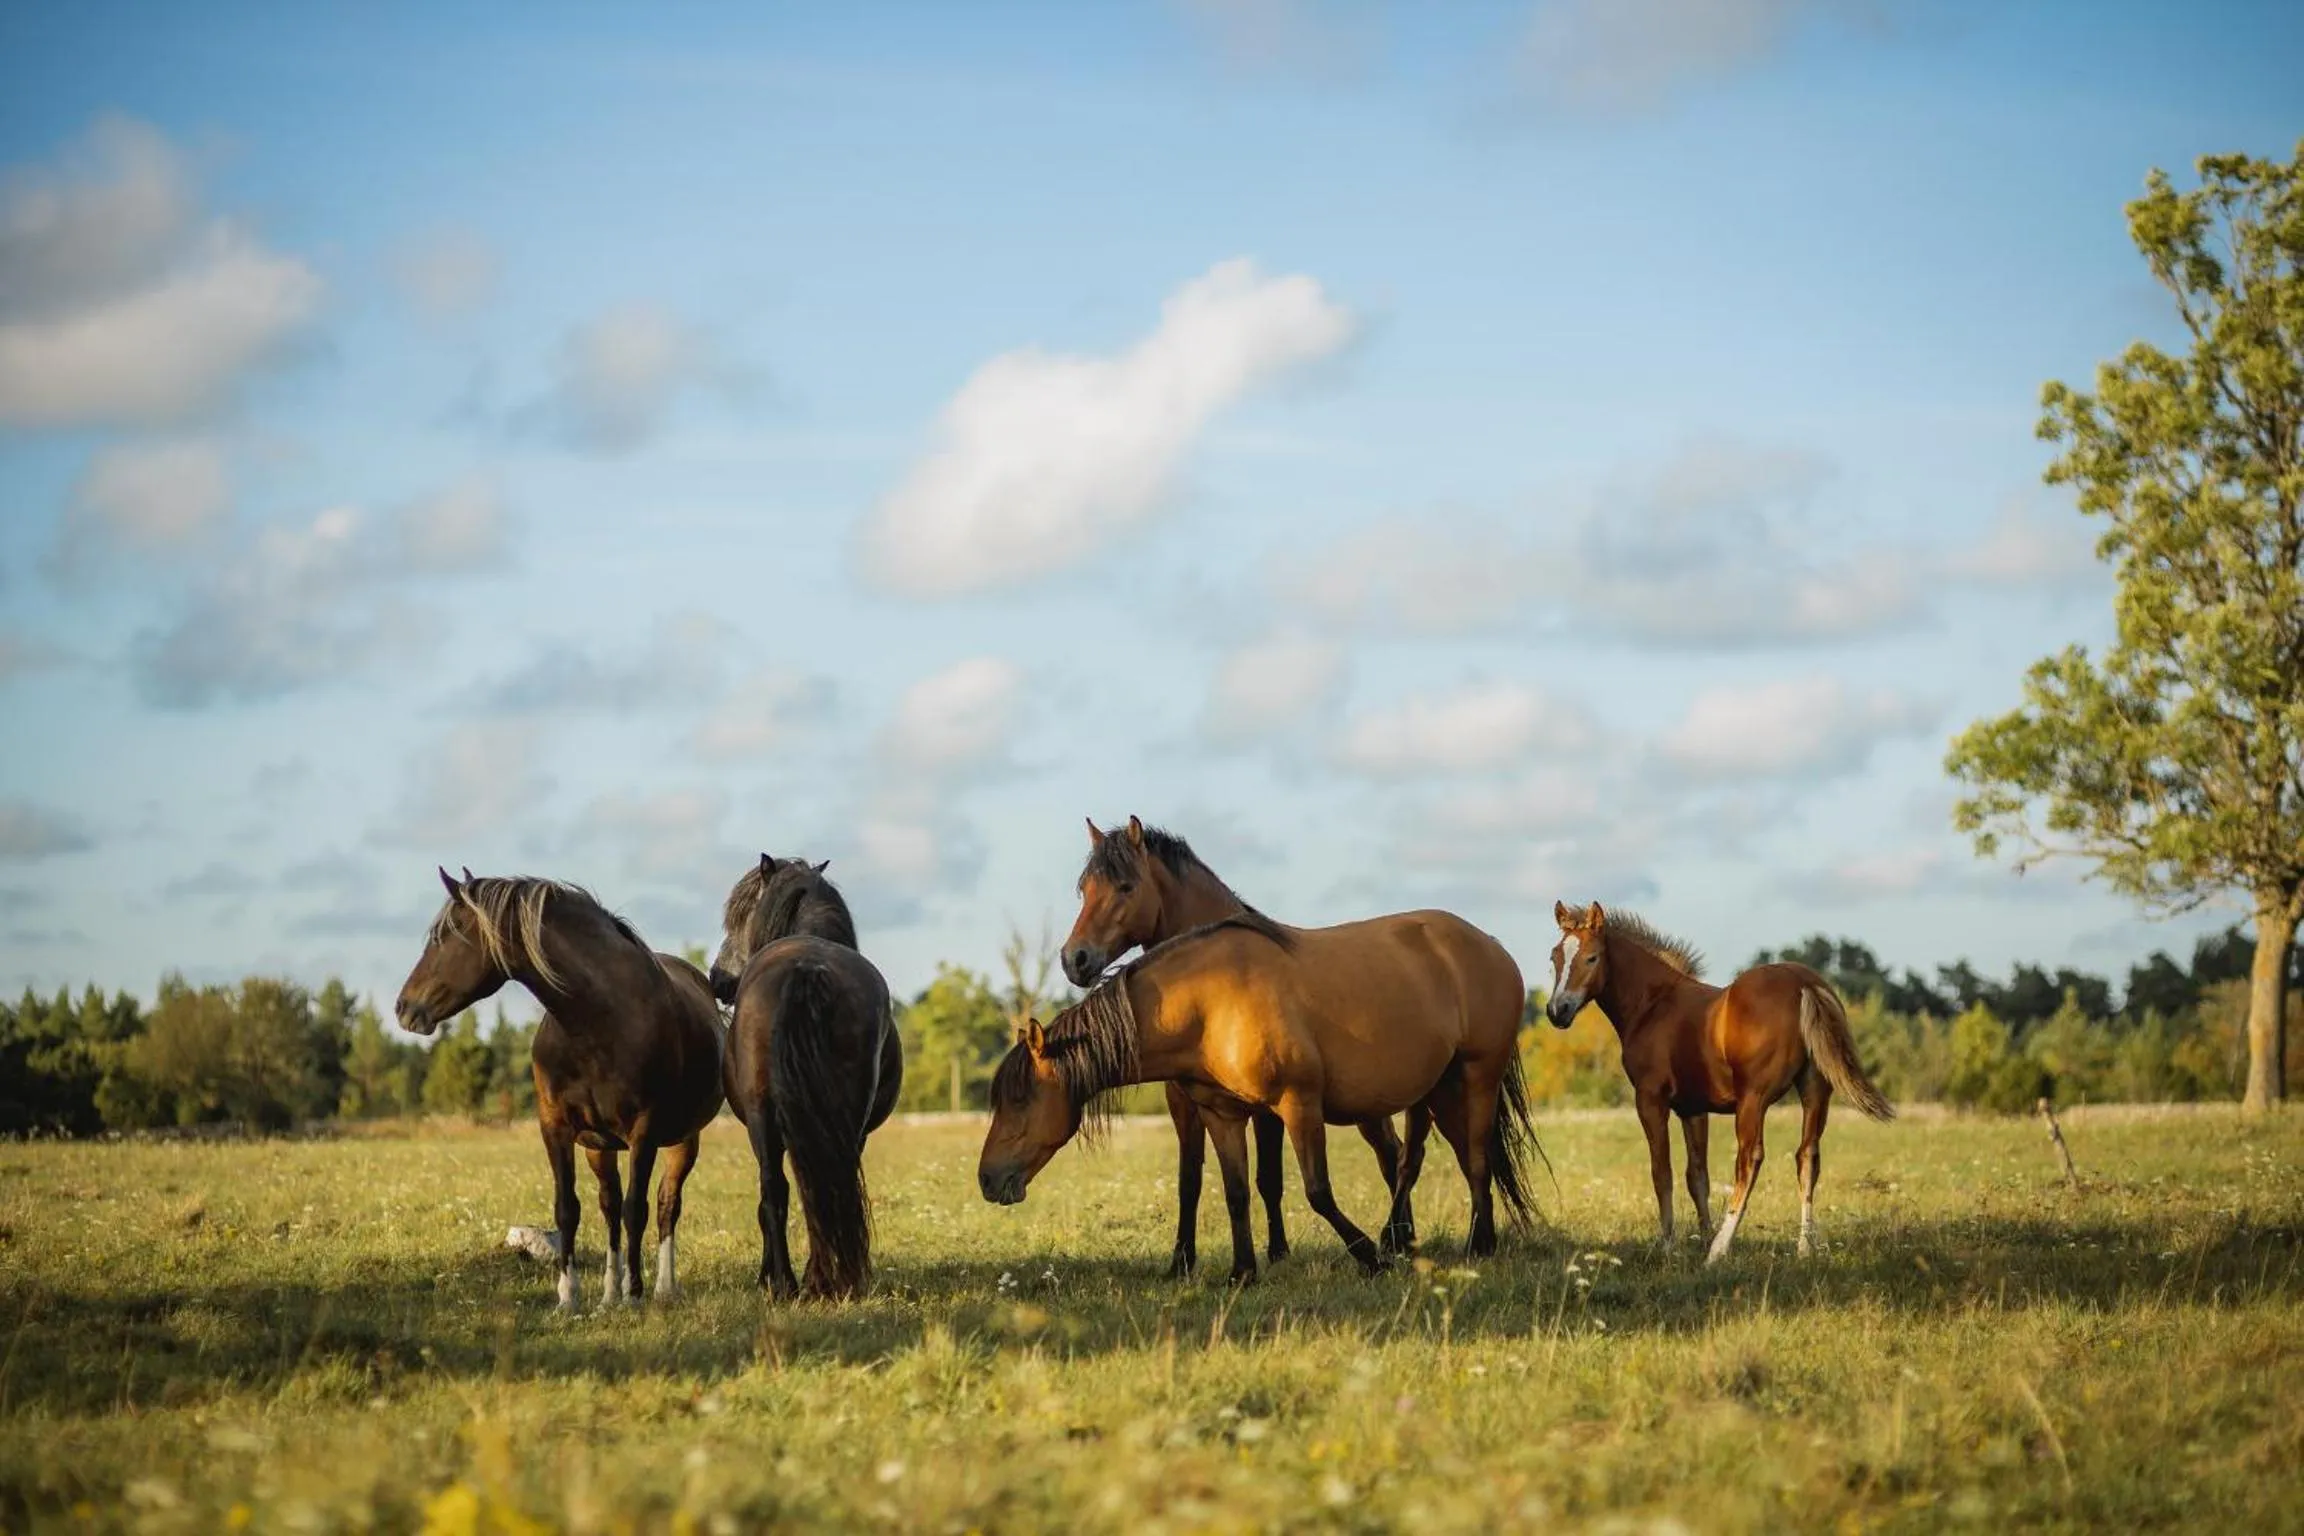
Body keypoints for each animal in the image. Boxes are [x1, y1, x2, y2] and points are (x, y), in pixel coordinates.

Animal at [395, 869, 724, 1310]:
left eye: (442, 936)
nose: (404, 1008)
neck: (599, 1022)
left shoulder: (644, 1131)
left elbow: (637, 1209)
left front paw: (634, 1295)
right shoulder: (557, 1128)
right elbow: (569, 1208)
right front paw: (570, 1297)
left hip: (683, 1140)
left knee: (665, 1204)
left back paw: (661, 1288)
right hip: (599, 1147)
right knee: (609, 1205)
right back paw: (608, 1296)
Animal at [711, 855, 903, 1299]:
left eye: (740, 915)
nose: (718, 979)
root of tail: (807, 968)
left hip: (766, 1118)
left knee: (780, 1189)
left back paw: (787, 1282)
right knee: (823, 1185)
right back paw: (824, 1280)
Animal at [982, 907, 1539, 1282]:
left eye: (1020, 1100)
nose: (987, 1180)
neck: (1209, 1004)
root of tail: (1490, 945)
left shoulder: (1298, 1106)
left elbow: (1317, 1192)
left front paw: (1368, 1258)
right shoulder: (1222, 1115)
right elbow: (1235, 1192)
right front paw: (1242, 1272)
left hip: (1477, 1077)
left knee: (1475, 1160)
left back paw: (1477, 1244)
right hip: (1435, 1090)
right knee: (1420, 1161)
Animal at [1062, 817, 1413, 1274]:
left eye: (1125, 886)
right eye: (1084, 889)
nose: (1074, 960)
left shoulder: (1268, 1110)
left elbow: (1268, 1179)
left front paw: (1277, 1253)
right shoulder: (1186, 1105)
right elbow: (1190, 1180)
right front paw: (1181, 1262)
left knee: (1391, 1154)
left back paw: (1400, 1240)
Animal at [1542, 901, 1894, 1263]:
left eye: (1592, 957)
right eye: (1555, 957)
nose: (1557, 1011)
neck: (1654, 1004)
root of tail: (1803, 984)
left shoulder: (1651, 1099)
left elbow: (1662, 1172)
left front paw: (1671, 1246)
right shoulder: (1693, 1109)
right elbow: (1697, 1176)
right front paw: (1702, 1235)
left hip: (1753, 1099)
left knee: (1750, 1159)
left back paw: (1720, 1250)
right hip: (1815, 1091)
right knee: (1807, 1156)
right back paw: (1803, 1248)